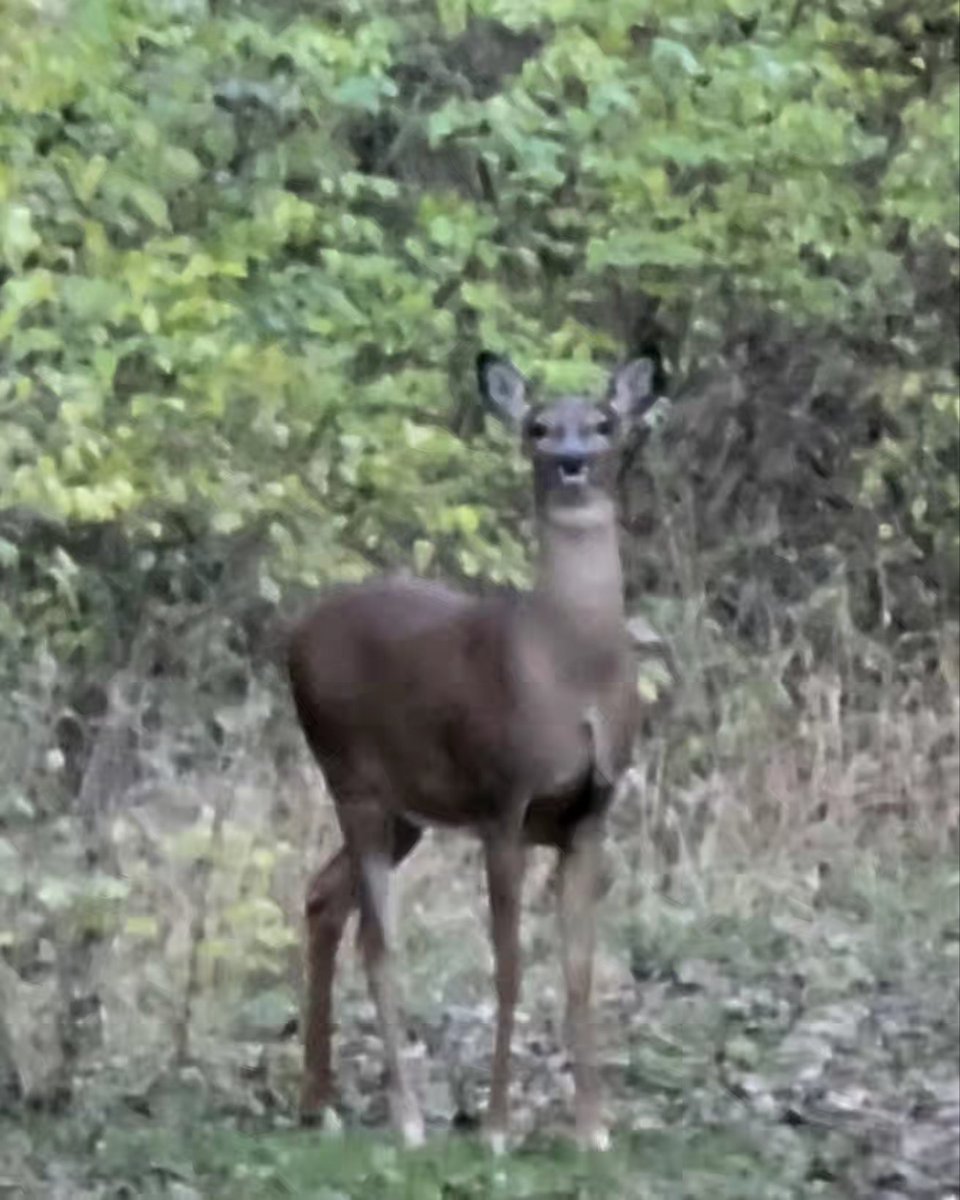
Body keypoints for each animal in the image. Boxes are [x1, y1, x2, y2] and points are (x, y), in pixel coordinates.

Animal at [286, 351, 659, 1154]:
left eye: (604, 421)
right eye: (537, 425)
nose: (572, 460)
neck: (569, 671)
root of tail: (292, 637)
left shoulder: (589, 815)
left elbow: (579, 966)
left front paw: (593, 1129)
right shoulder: (503, 801)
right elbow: (509, 964)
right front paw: (496, 1127)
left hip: (407, 810)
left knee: (323, 897)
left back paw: (318, 1103)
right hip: (350, 777)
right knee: (377, 939)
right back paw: (407, 1117)